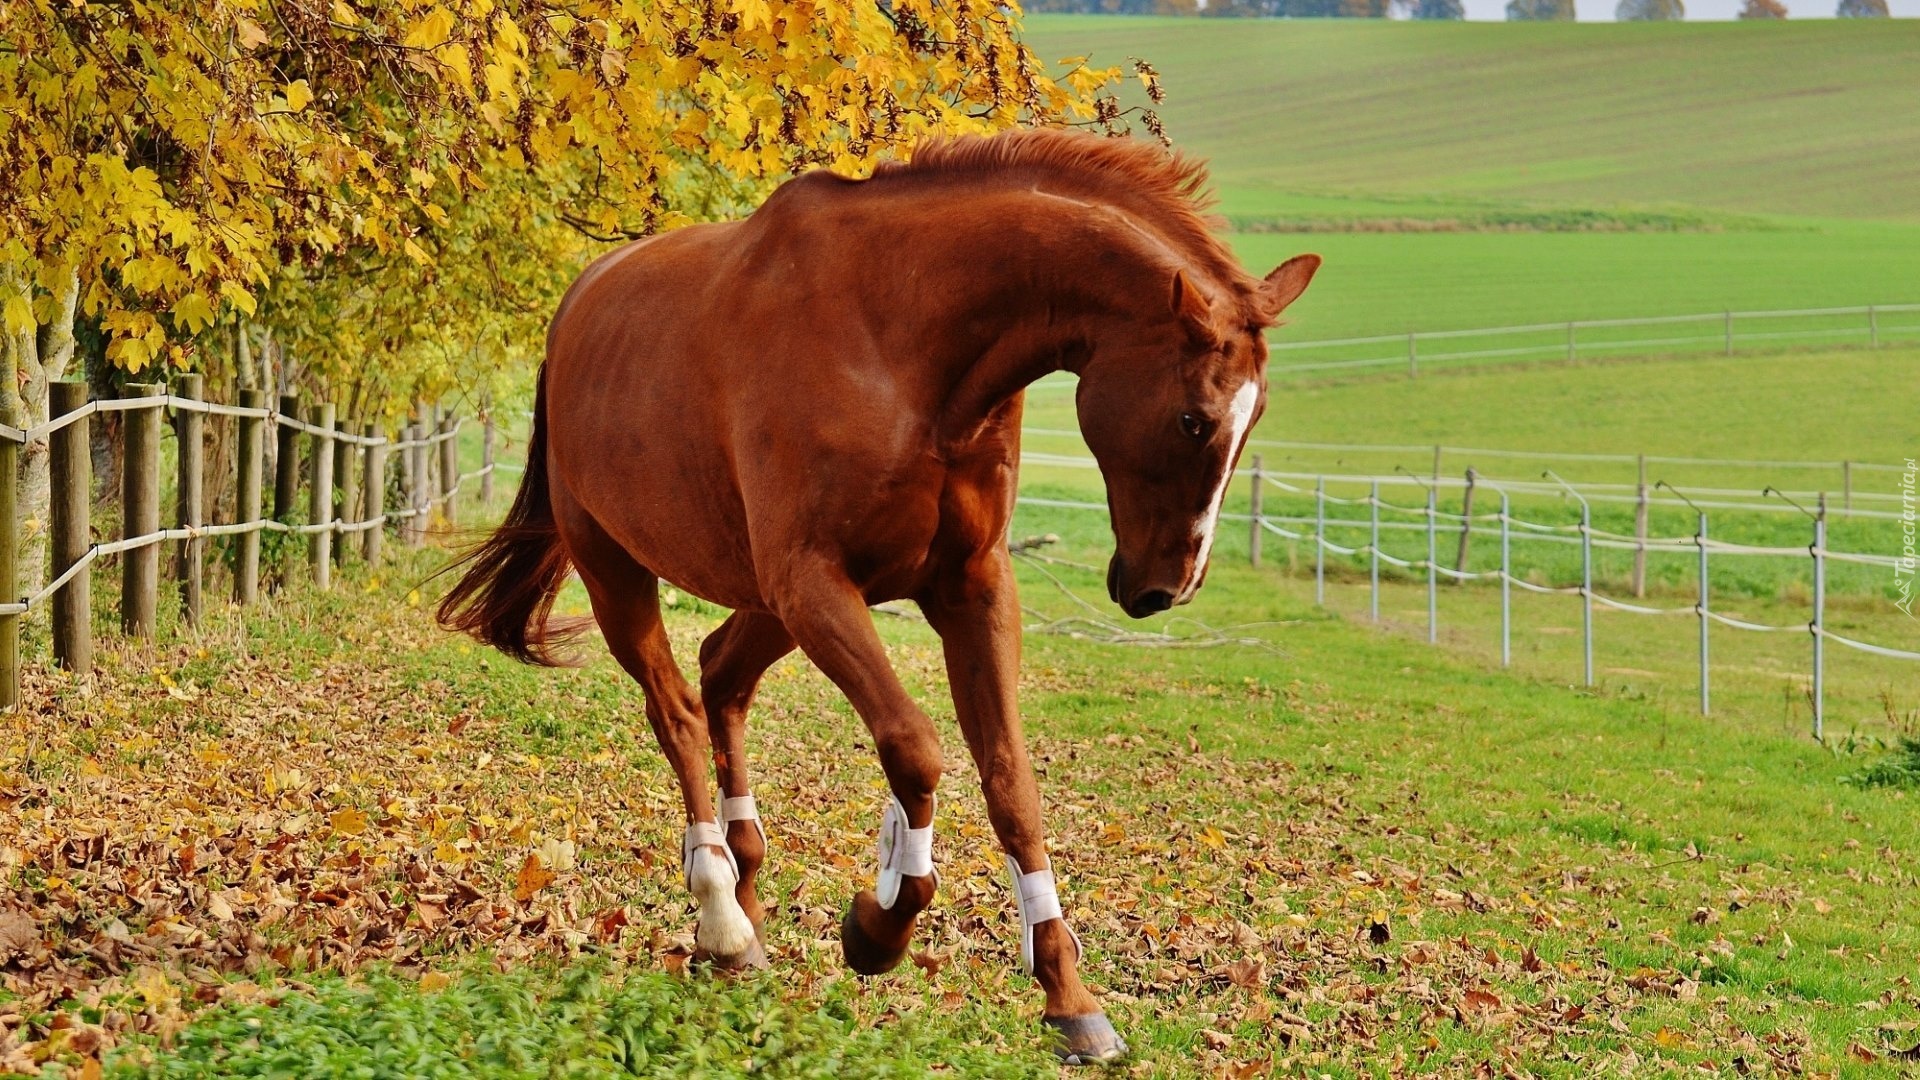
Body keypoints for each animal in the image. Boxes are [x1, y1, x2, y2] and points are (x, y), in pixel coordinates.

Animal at [445, 127, 1320, 1060]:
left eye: (1254, 421)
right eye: (1196, 418)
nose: (1166, 588)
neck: (902, 341)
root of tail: (577, 307)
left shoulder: (969, 589)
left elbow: (1012, 784)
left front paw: (1068, 995)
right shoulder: (816, 582)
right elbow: (916, 750)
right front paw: (877, 926)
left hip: (765, 603)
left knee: (721, 674)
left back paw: (745, 904)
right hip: (621, 573)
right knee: (676, 710)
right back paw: (722, 915)